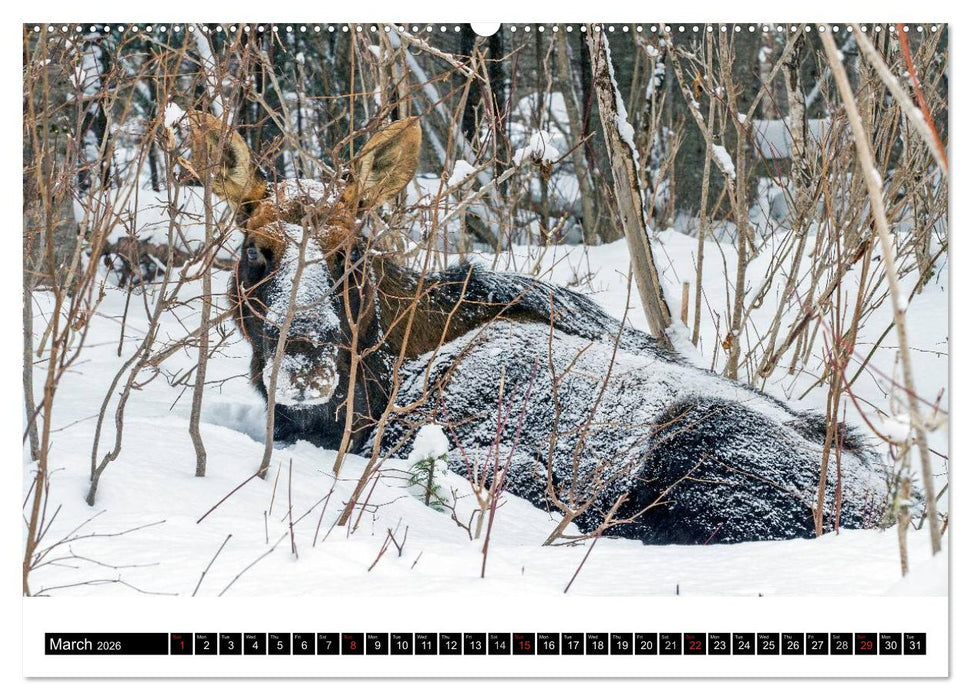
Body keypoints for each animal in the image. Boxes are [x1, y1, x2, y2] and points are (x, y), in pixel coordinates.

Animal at [177, 112, 890, 545]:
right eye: (256, 250)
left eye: (349, 253)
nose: (303, 356)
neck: (377, 375)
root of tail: (888, 504)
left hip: (700, 447)